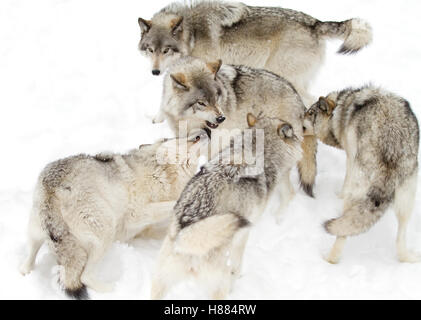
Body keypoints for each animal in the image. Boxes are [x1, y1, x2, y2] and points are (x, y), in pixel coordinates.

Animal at [18, 132, 208, 298]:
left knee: (29, 258)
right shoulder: (137, 213)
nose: (203, 132)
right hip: (106, 230)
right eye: (176, 137)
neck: (160, 173)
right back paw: (112, 290)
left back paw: (25, 271)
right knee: (84, 276)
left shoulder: (146, 230)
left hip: (36, 234)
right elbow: (173, 204)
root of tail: (51, 190)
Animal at [150, 113, 302, 300]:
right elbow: (236, 266)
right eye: (294, 134)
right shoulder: (243, 235)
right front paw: (236, 279)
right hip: (217, 285)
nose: (300, 137)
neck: (257, 151)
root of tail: (185, 238)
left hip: (159, 282)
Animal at [304, 86, 418, 264]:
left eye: (309, 113)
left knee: (342, 233)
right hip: (407, 202)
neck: (339, 110)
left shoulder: (351, 159)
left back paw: (330, 258)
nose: (297, 117)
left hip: (359, 190)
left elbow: (345, 184)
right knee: (400, 240)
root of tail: (391, 147)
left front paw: (338, 196)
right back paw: (408, 257)